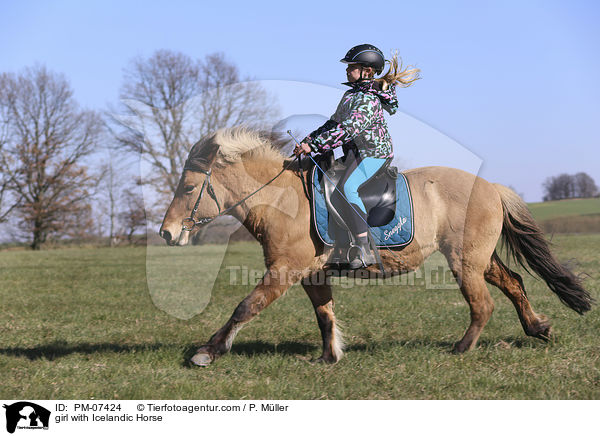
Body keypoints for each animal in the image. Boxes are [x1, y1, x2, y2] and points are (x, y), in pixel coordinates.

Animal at [157, 127, 592, 366]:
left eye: (189, 188)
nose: (166, 233)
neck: (282, 200)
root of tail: (491, 186)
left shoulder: (284, 271)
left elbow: (245, 307)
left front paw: (207, 351)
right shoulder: (311, 273)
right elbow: (324, 315)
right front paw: (330, 356)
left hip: (465, 261)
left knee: (482, 304)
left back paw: (461, 348)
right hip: (479, 258)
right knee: (514, 282)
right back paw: (538, 328)